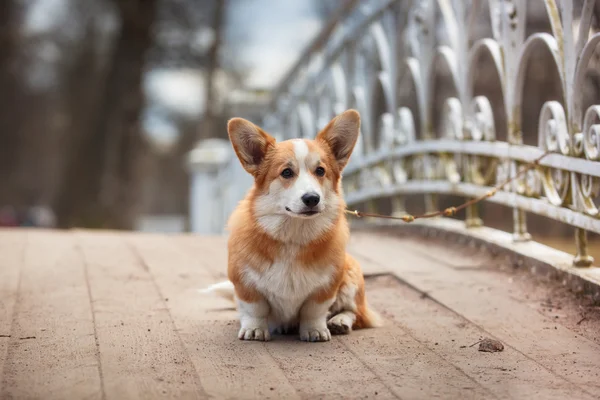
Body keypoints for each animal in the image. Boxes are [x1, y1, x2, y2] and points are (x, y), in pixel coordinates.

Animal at [202, 109, 380, 340]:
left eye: (320, 171)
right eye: (286, 172)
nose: (312, 198)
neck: (294, 234)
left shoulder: (325, 287)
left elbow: (313, 311)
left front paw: (314, 330)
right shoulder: (245, 283)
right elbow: (254, 309)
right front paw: (254, 329)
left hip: (352, 273)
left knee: (356, 313)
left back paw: (339, 321)